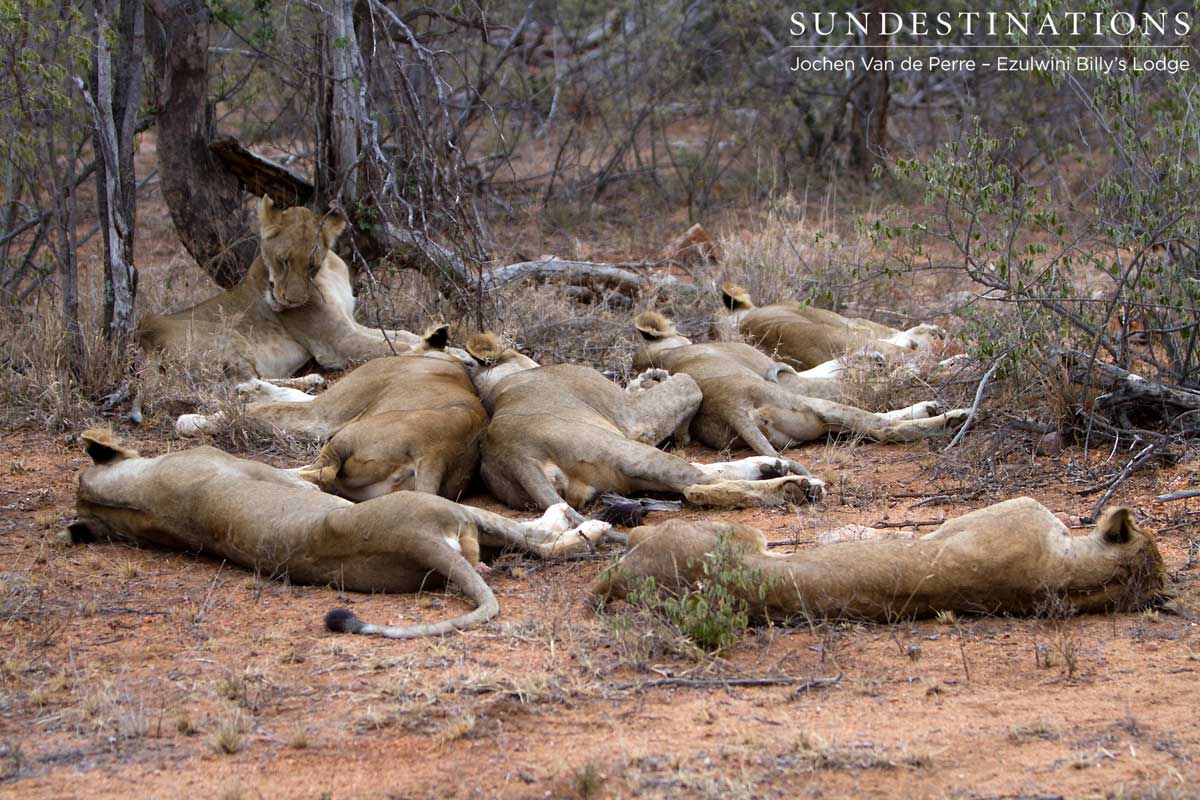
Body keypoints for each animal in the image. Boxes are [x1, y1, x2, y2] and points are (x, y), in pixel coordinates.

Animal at [67, 429, 609, 639]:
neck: (134, 496)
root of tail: (416, 542)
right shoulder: (265, 472)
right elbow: (302, 475)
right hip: (450, 510)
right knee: (537, 539)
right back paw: (584, 524)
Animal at [138, 195, 422, 380]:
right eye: (283, 260)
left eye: (311, 264)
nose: (292, 301)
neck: (328, 272)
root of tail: (143, 335)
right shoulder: (337, 342)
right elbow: (399, 349)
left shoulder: (351, 323)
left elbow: (404, 335)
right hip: (230, 338)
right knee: (248, 385)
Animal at [174, 325, 486, 502]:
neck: (447, 360)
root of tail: (437, 454)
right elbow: (289, 395)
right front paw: (250, 387)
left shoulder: (324, 414)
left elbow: (262, 410)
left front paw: (196, 420)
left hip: (345, 436)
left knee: (320, 475)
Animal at [461, 334, 826, 520]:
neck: (499, 386)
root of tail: (516, 456)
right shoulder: (632, 417)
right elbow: (688, 381)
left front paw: (650, 378)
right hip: (620, 450)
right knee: (698, 483)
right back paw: (795, 485)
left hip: (618, 475)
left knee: (698, 476)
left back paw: (771, 467)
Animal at [632, 311, 969, 457]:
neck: (666, 355)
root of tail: (732, 409)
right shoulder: (787, 379)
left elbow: (833, 365)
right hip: (806, 404)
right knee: (881, 427)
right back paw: (950, 416)